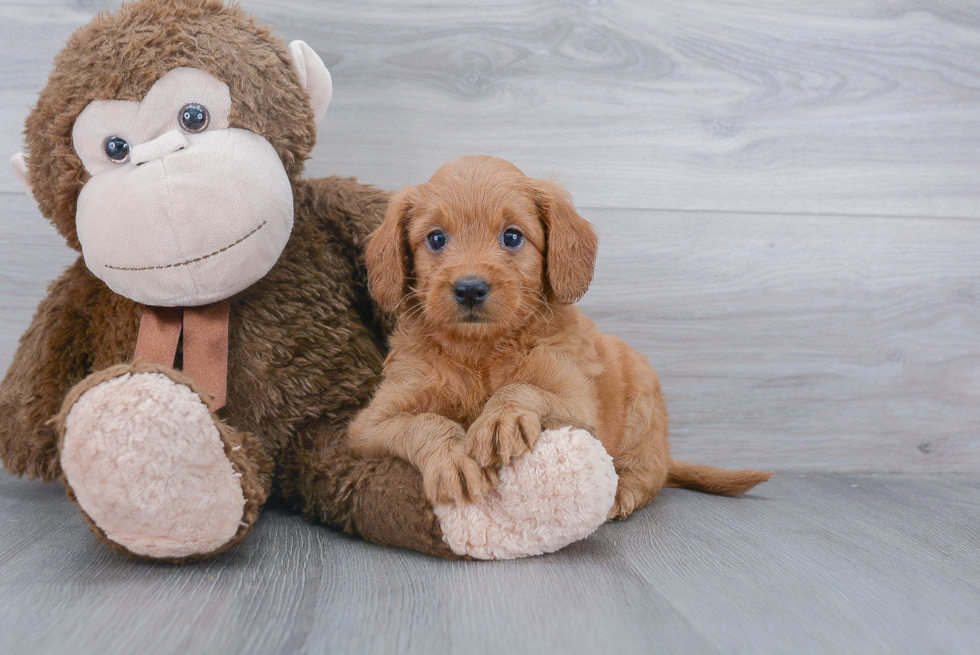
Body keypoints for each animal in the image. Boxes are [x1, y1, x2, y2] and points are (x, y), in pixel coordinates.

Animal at [348, 155, 768, 516]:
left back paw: (622, 495)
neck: (481, 350)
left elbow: (521, 387)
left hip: (642, 413)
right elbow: (424, 422)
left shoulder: (580, 407)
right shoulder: (370, 426)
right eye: (436, 239)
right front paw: (454, 459)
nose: (469, 289)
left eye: (512, 237)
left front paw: (502, 418)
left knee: (649, 475)